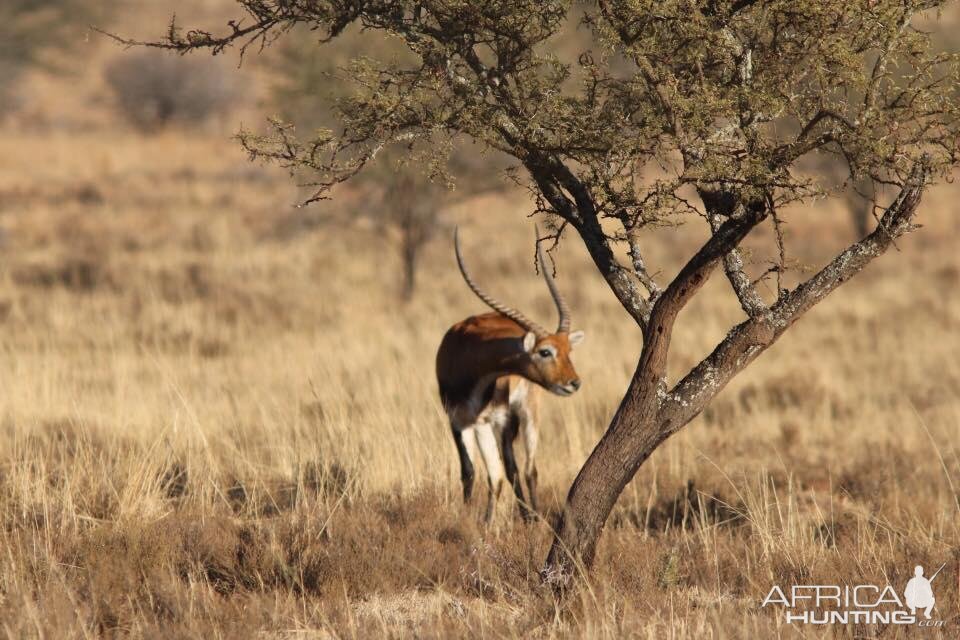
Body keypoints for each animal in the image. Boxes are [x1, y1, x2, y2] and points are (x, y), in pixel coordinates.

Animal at [436, 232, 584, 524]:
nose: (573, 382)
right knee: (501, 472)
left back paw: (533, 518)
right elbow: (472, 472)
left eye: (568, 350)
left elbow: (508, 470)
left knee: (527, 469)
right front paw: (475, 521)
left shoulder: (498, 418)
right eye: (545, 351)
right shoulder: (459, 420)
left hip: (526, 412)